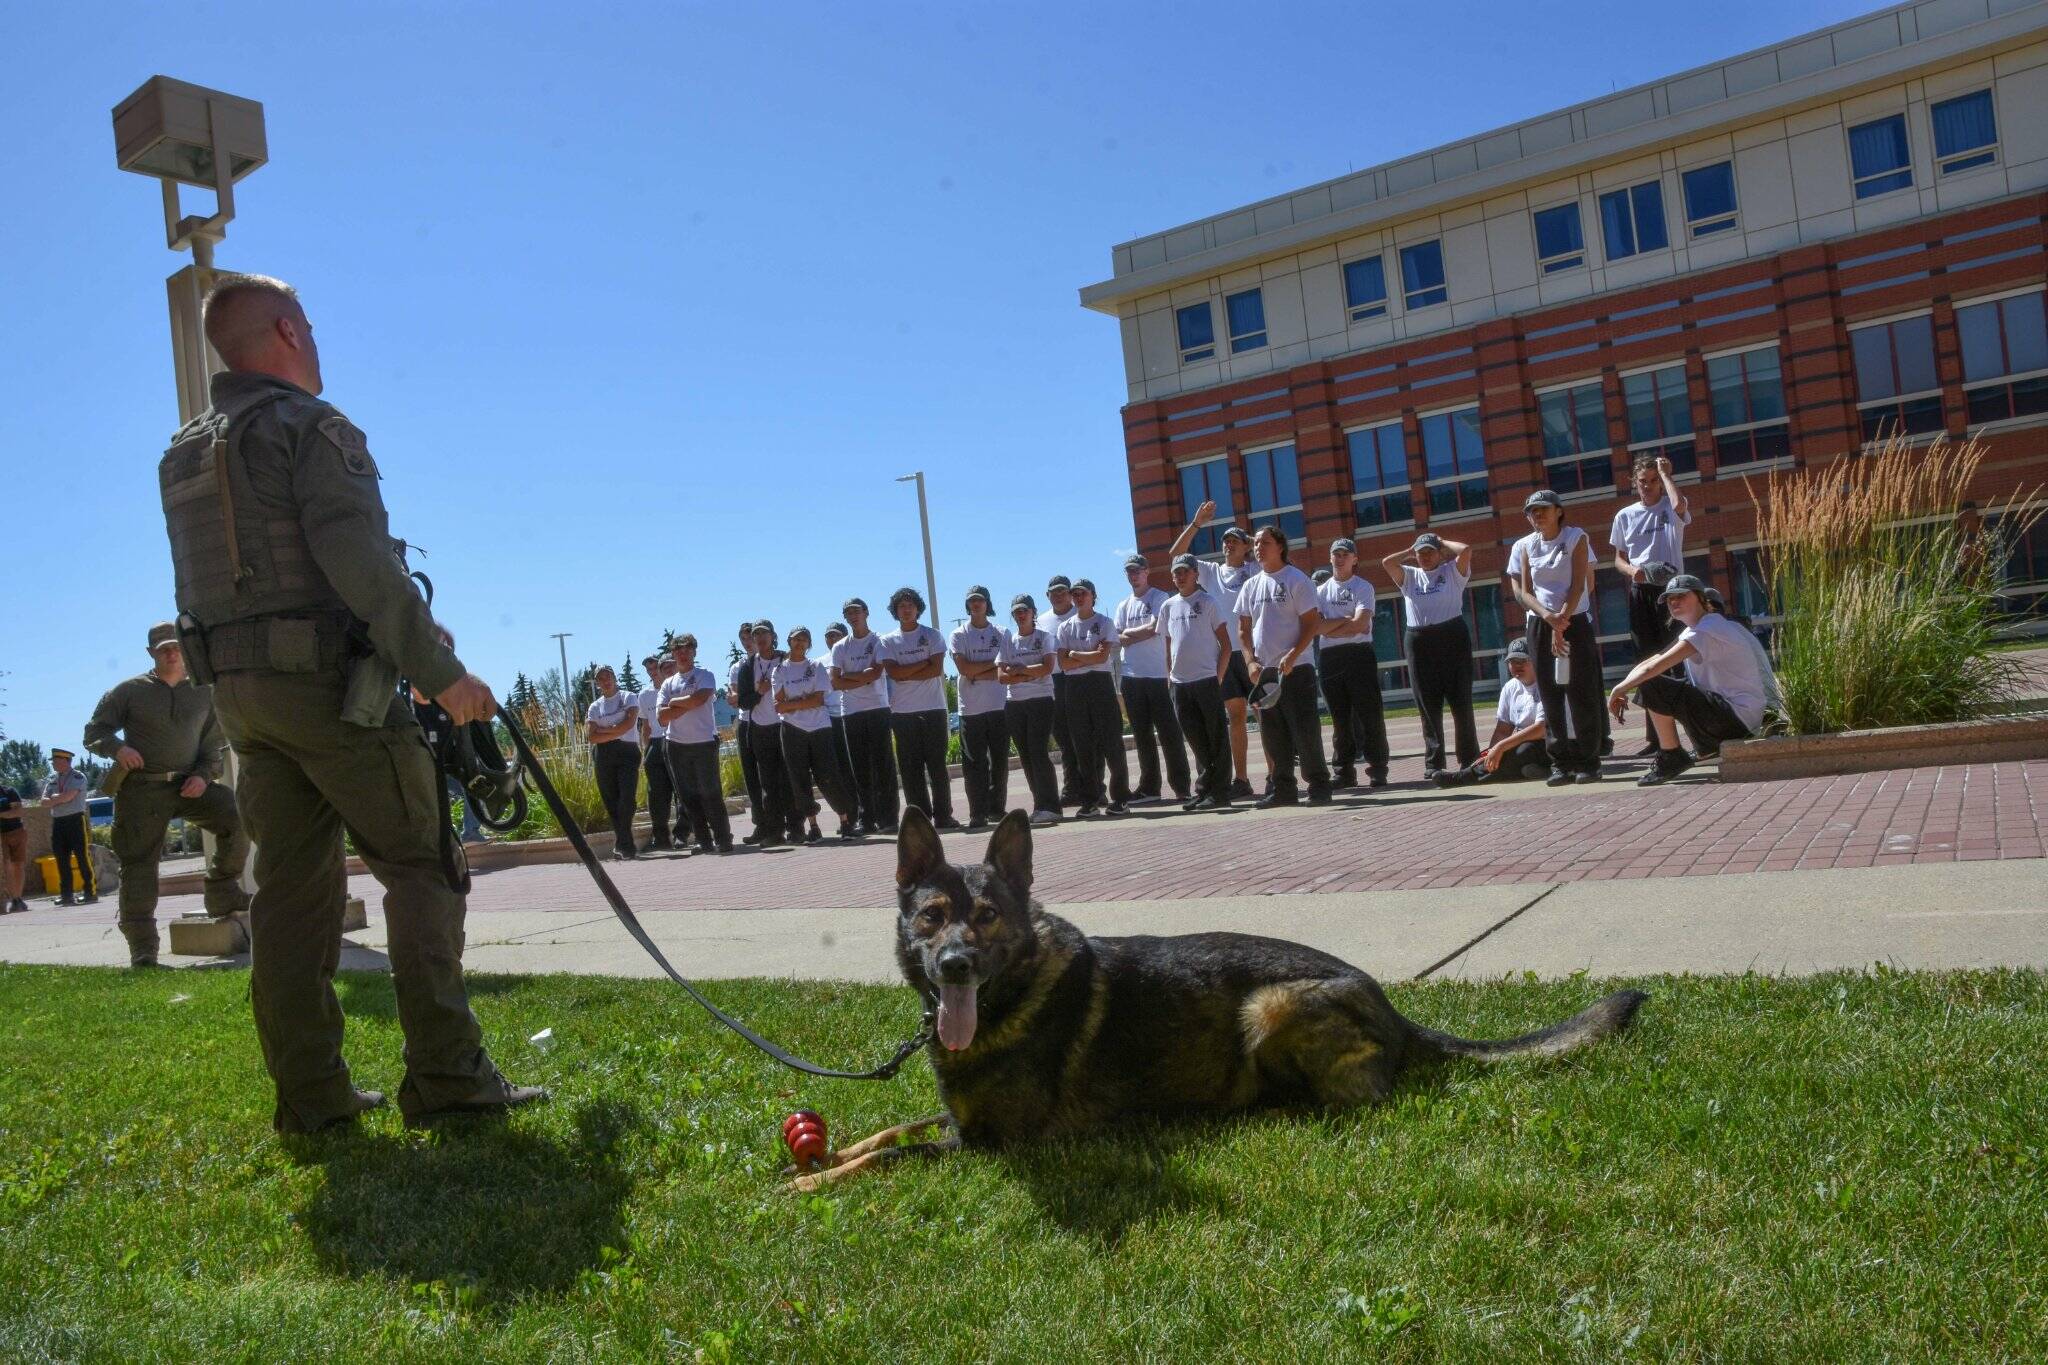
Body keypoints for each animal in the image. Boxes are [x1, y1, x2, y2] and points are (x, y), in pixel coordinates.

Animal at [786, 810, 1646, 1186]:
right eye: (932, 916)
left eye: (989, 916)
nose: (957, 964)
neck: (1011, 995)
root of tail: (1395, 1007)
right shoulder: (961, 1122)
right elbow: (890, 1127)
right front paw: (829, 1151)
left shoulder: (990, 1143)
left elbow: (897, 1152)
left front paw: (810, 1180)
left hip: (1264, 1007)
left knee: (1354, 1100)